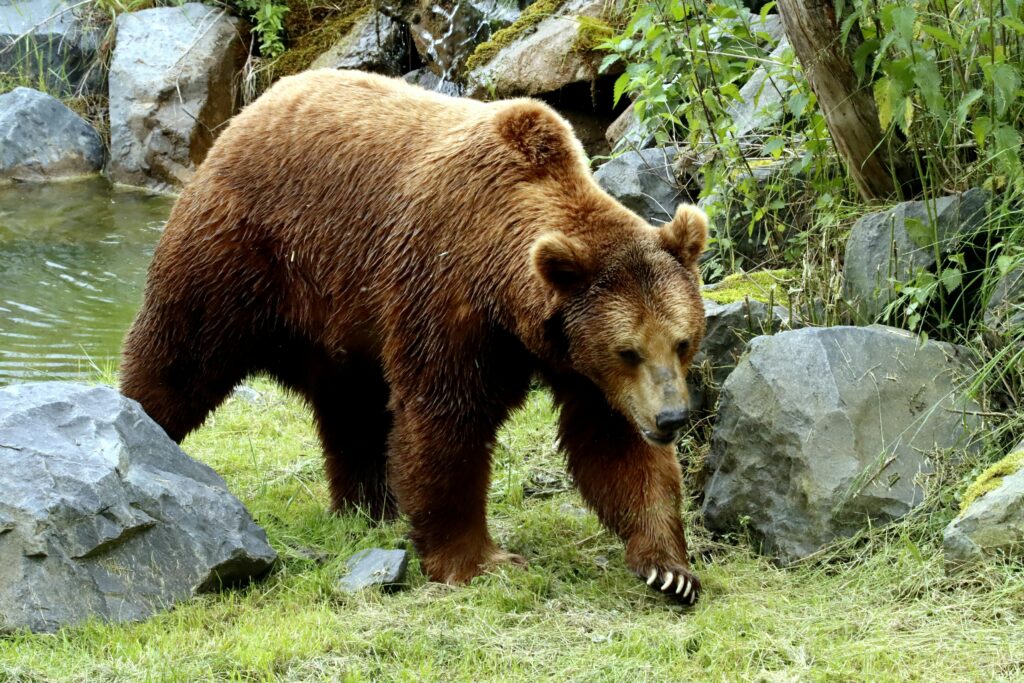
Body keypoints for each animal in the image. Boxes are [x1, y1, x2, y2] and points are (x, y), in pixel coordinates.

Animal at [121, 69, 708, 604]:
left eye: (682, 342)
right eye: (628, 350)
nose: (672, 418)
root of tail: (251, 109)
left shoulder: (576, 358)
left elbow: (613, 444)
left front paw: (670, 569)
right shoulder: (445, 294)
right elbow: (444, 421)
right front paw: (480, 560)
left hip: (341, 323)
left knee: (353, 412)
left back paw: (368, 506)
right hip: (243, 257)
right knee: (179, 359)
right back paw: (142, 430)